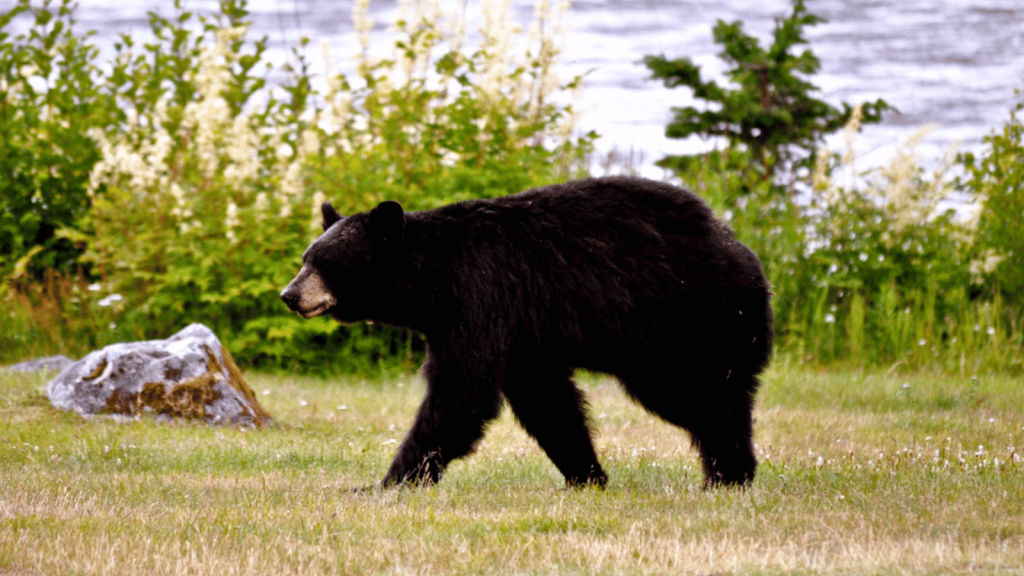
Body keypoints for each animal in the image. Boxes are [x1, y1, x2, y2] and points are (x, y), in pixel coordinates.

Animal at [280, 174, 774, 483]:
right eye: (305, 258)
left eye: (325, 263)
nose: (289, 294)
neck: (433, 283)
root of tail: (739, 246)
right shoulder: (523, 336)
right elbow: (547, 403)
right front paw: (586, 475)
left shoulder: (481, 301)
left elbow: (460, 394)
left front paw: (389, 481)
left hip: (687, 320)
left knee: (704, 396)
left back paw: (729, 473)